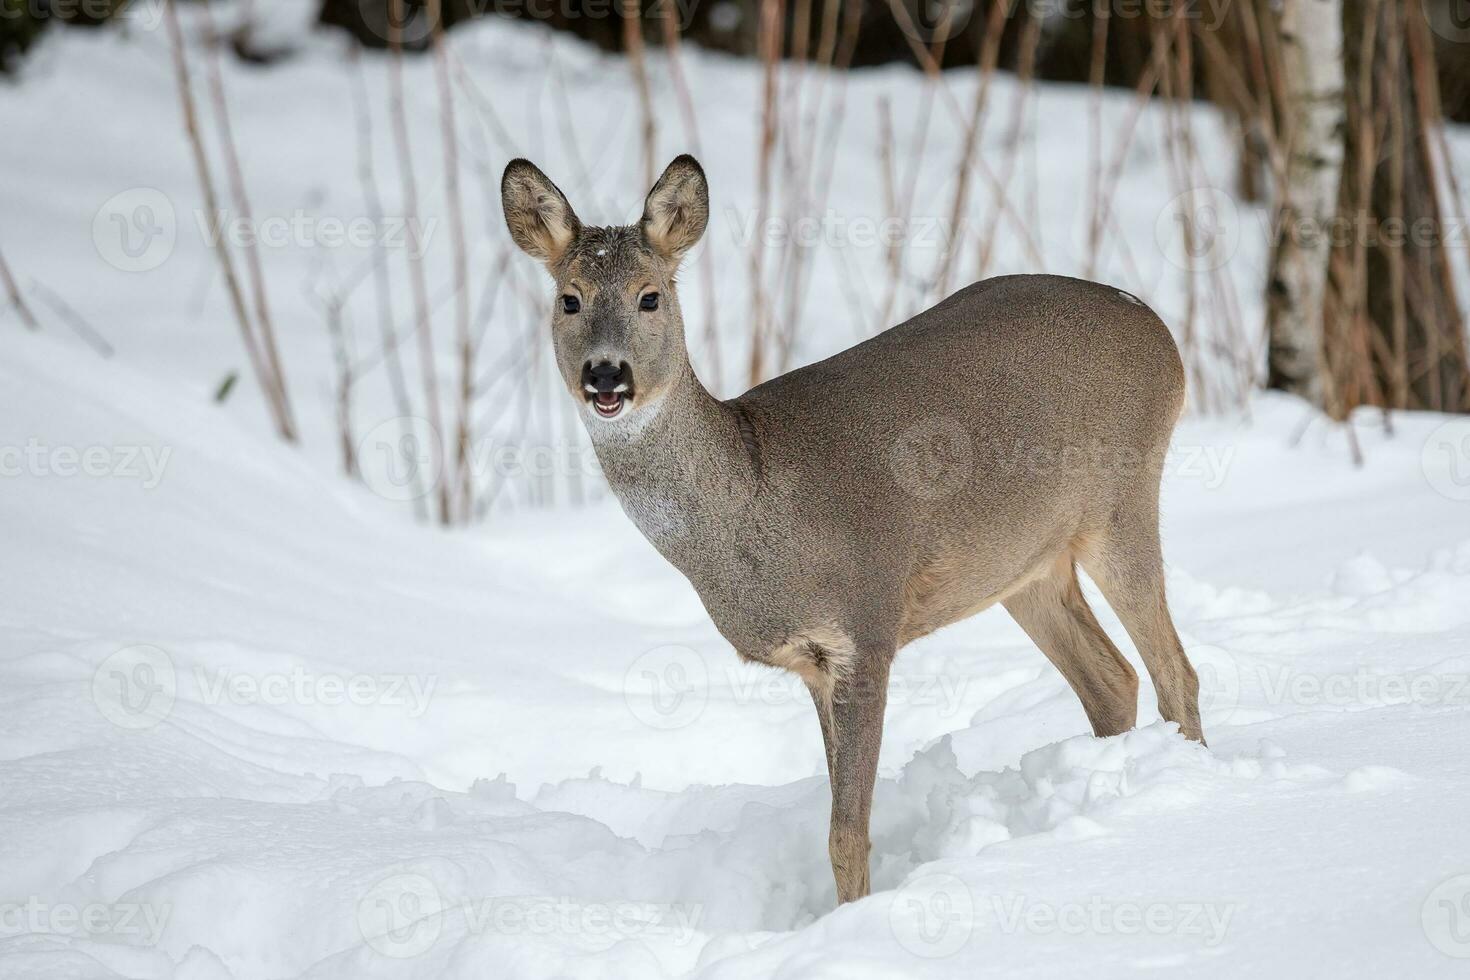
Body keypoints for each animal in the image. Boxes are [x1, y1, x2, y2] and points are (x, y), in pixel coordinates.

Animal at [499, 155, 1199, 910]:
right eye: (569, 299)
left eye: (650, 297)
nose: (606, 375)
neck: (755, 504)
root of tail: (1159, 328)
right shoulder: (814, 660)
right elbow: (838, 829)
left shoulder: (867, 620)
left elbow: (847, 834)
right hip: (1025, 567)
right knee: (1112, 680)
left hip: (1122, 501)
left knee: (1175, 672)